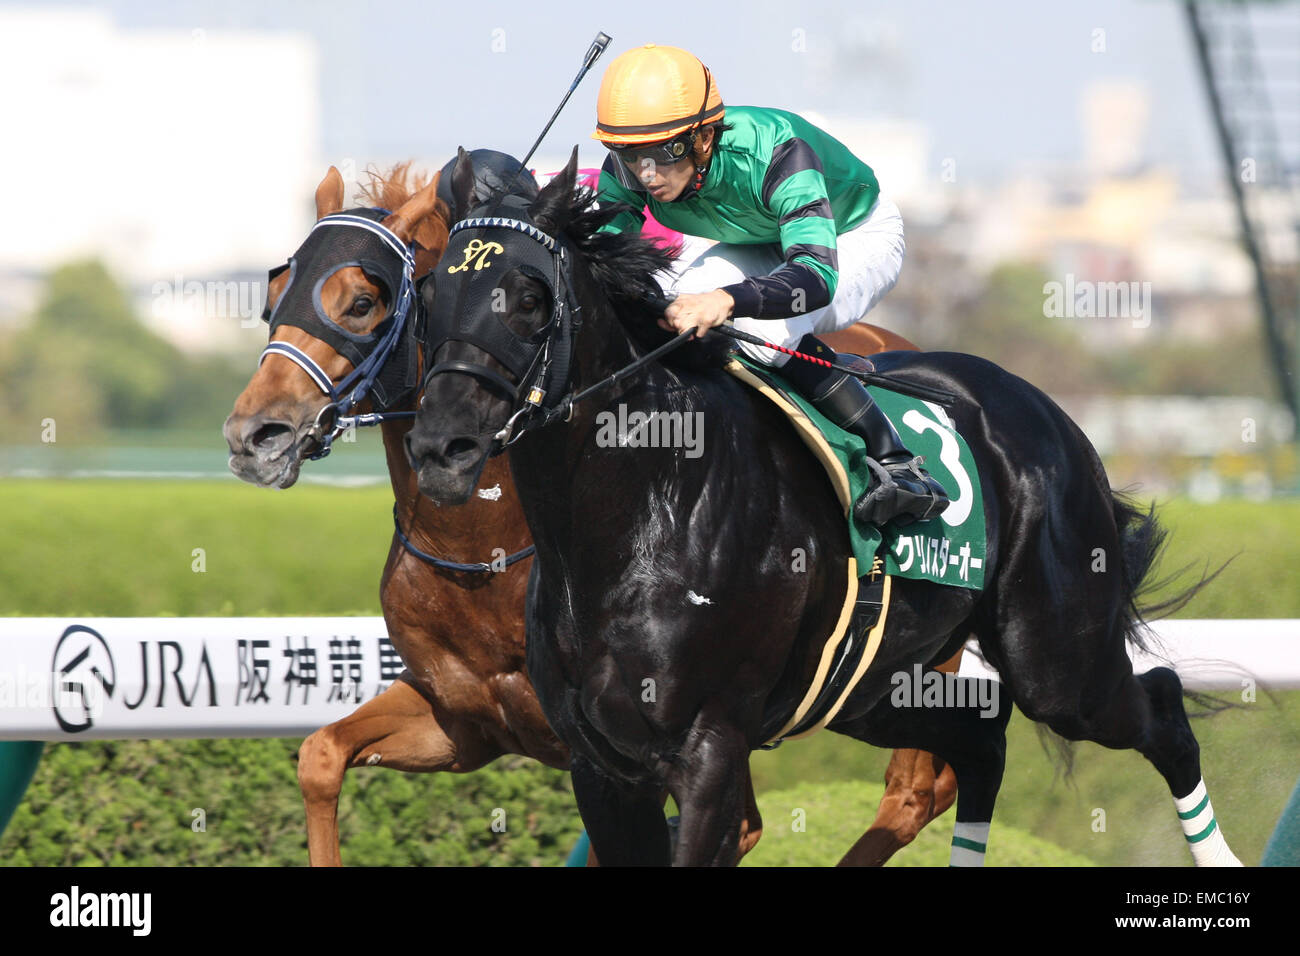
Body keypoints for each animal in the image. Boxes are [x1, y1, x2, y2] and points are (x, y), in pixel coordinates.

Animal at [223, 158, 957, 865]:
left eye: (362, 302)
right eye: (273, 296)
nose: (253, 435)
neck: (482, 548)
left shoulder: (655, 744)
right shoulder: (461, 718)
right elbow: (320, 756)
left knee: (915, 790)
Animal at [405, 148, 1242, 867]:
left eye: (528, 297)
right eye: (434, 293)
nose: (441, 447)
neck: (645, 513)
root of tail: (1053, 416)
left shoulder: (709, 752)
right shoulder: (601, 767)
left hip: (1057, 663)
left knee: (1159, 708)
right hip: (869, 686)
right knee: (981, 739)